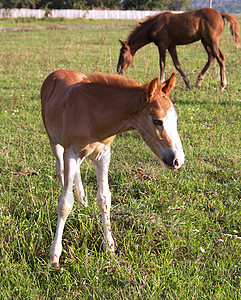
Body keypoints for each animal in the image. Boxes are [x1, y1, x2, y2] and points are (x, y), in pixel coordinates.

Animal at [41, 70, 185, 270]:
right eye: (157, 121)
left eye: (176, 119)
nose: (177, 160)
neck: (92, 114)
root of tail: (56, 73)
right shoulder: (70, 152)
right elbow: (65, 203)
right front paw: (54, 254)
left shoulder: (103, 154)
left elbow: (104, 199)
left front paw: (109, 246)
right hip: (55, 142)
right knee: (61, 170)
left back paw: (83, 199)